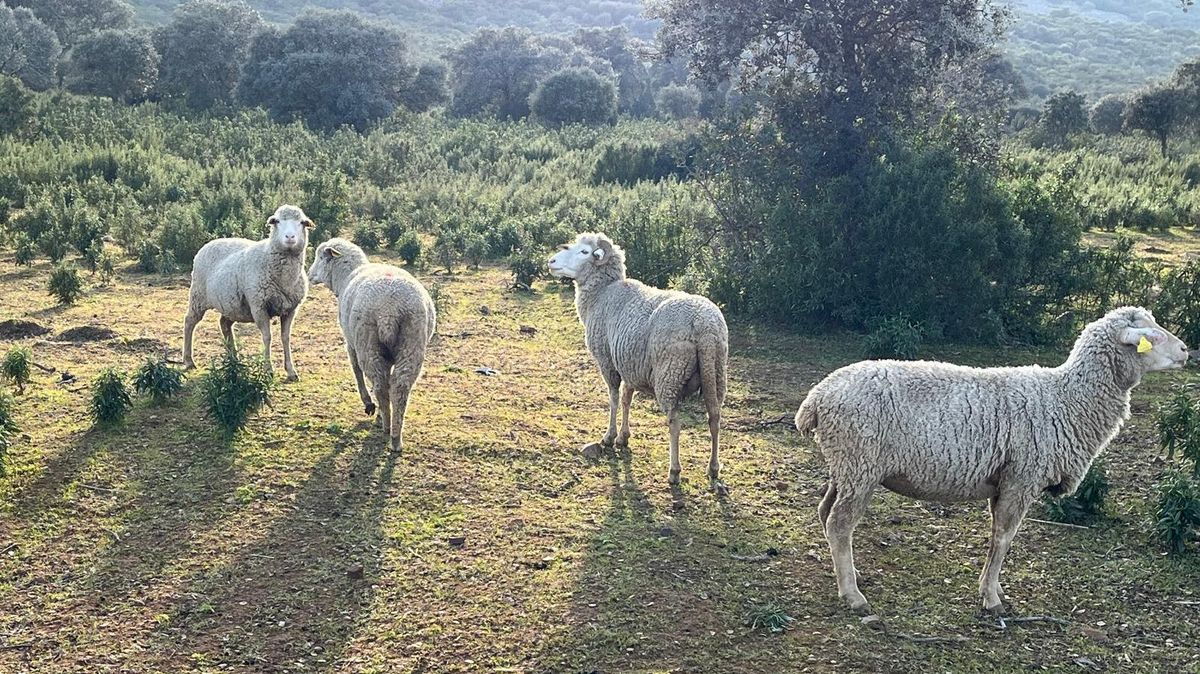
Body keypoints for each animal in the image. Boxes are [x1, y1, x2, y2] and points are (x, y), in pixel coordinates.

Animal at [182, 201, 312, 381]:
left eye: (302, 223)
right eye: (277, 221)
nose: (290, 237)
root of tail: (209, 243)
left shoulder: (290, 309)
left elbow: (285, 338)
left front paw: (291, 371)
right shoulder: (259, 306)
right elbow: (267, 337)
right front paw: (268, 370)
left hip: (231, 305)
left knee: (224, 323)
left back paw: (233, 359)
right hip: (198, 296)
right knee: (189, 322)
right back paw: (188, 360)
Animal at [309, 236, 436, 450]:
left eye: (319, 257)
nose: (309, 275)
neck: (346, 277)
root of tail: (390, 309)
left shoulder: (351, 343)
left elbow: (356, 371)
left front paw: (368, 404)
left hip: (368, 344)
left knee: (380, 384)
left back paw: (385, 424)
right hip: (412, 341)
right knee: (399, 386)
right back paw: (395, 435)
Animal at [549, 233, 724, 484]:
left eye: (584, 252)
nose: (551, 262)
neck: (602, 293)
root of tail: (704, 325)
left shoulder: (607, 361)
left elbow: (613, 398)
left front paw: (609, 436)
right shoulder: (629, 363)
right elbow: (626, 399)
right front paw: (623, 437)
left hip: (670, 374)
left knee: (675, 422)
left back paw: (674, 471)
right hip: (715, 372)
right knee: (715, 418)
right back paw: (713, 468)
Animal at [796, 305, 1190, 614]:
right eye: (1151, 336)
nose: (1187, 350)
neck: (1066, 399)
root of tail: (817, 397)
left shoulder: (1001, 480)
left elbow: (996, 537)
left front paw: (993, 587)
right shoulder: (1022, 477)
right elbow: (1003, 537)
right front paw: (990, 598)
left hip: (845, 466)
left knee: (825, 512)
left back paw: (848, 574)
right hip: (860, 465)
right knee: (839, 523)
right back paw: (852, 595)